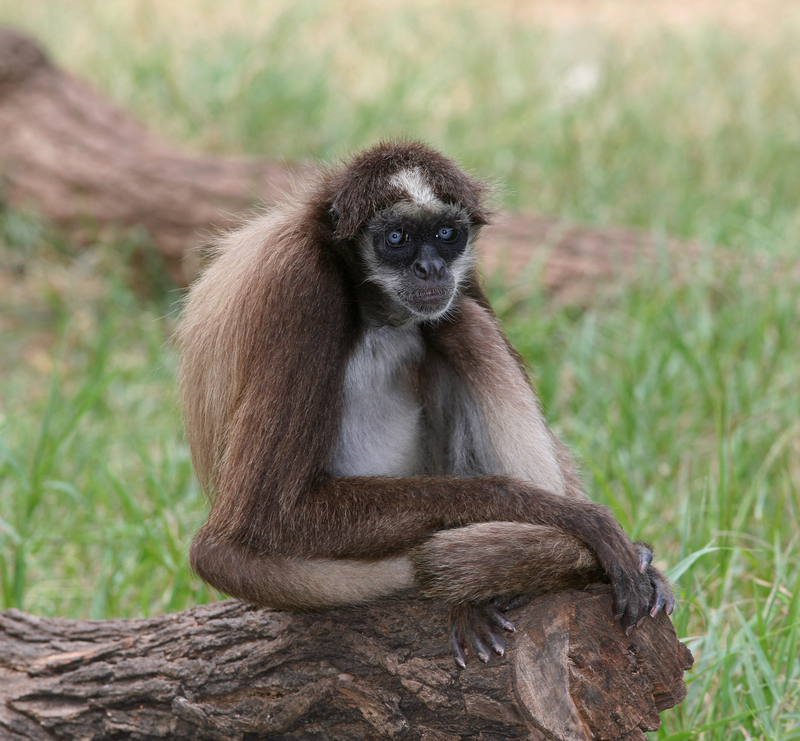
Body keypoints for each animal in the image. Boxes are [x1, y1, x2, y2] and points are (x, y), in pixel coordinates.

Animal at [178, 139, 672, 664]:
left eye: (445, 234)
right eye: (396, 237)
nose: (430, 267)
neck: (374, 309)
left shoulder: (460, 278)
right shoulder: (302, 285)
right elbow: (266, 517)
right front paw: (566, 515)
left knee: (456, 322)